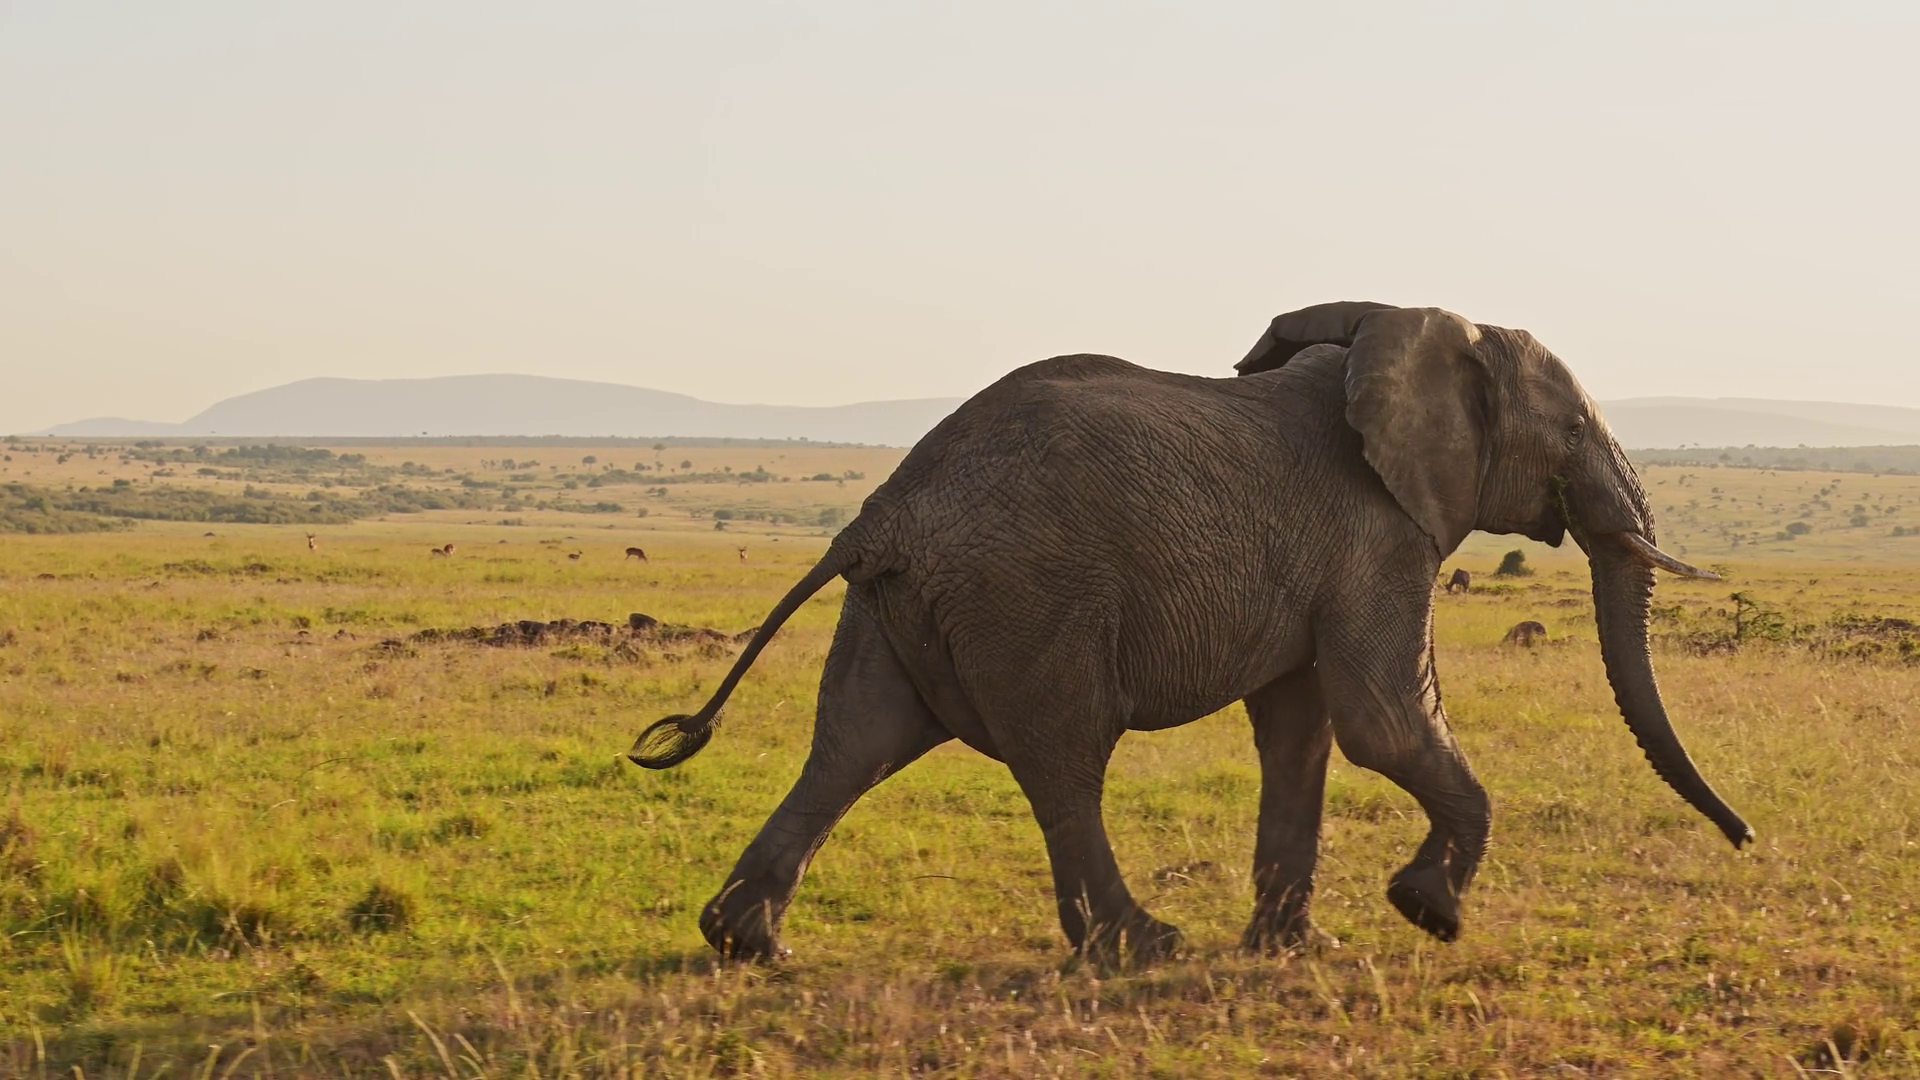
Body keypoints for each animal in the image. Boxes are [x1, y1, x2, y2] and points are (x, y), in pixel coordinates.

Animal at [628, 301, 1751, 967]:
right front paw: (1429, 913)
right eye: (1573, 431)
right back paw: (1141, 948)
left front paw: (1292, 950)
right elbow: (1382, 723)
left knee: (852, 746)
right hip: (1030, 600)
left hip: (896, 610)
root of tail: (884, 514)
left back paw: (747, 946)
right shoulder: (1380, 533)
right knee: (1064, 764)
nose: (1745, 840)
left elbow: (1302, 732)